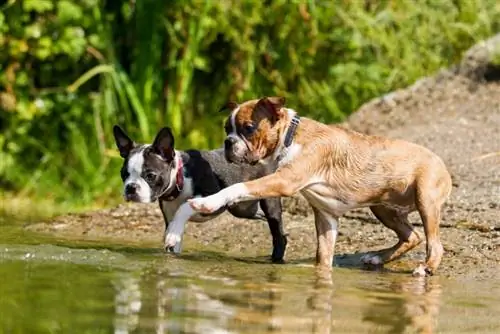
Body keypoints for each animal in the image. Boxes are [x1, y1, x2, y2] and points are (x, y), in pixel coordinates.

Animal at [112, 124, 288, 262]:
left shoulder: (212, 196)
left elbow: (186, 206)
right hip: (242, 208)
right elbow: (174, 240)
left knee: (278, 233)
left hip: (267, 199)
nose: (131, 187)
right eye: (123, 174)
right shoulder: (169, 218)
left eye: (150, 175)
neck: (180, 179)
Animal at [188, 96, 454, 276]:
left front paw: (207, 202)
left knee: (434, 244)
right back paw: (379, 258)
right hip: (383, 208)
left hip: (425, 199)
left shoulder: (282, 182)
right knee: (412, 236)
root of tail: (442, 163)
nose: (228, 142)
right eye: (226, 128)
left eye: (248, 128)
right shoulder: (326, 218)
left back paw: (426, 268)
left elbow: (239, 187)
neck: (290, 136)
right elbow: (323, 257)